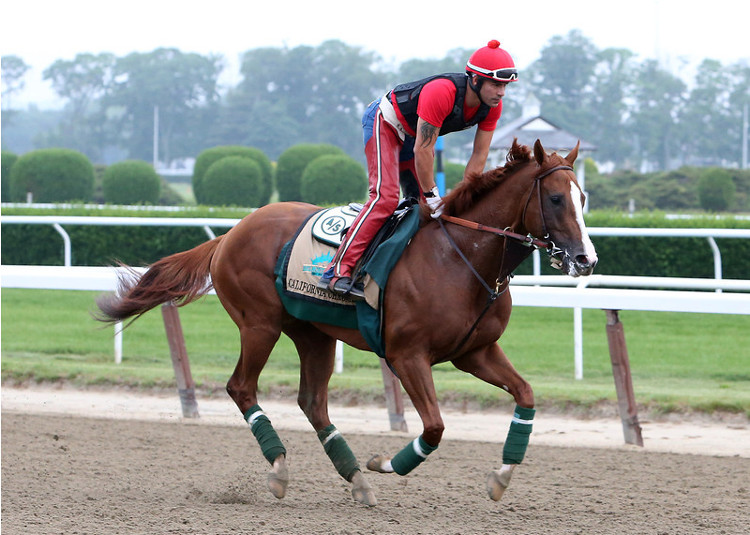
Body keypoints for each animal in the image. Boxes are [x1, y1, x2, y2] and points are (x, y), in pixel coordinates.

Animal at [95, 138, 600, 506]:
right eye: (556, 198)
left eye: (583, 197)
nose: (586, 259)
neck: (459, 257)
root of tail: (230, 233)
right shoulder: (407, 355)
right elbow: (435, 427)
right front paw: (387, 463)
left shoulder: (475, 352)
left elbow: (526, 396)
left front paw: (501, 476)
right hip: (259, 324)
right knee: (242, 387)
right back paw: (282, 468)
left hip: (312, 333)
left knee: (313, 402)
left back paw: (355, 477)